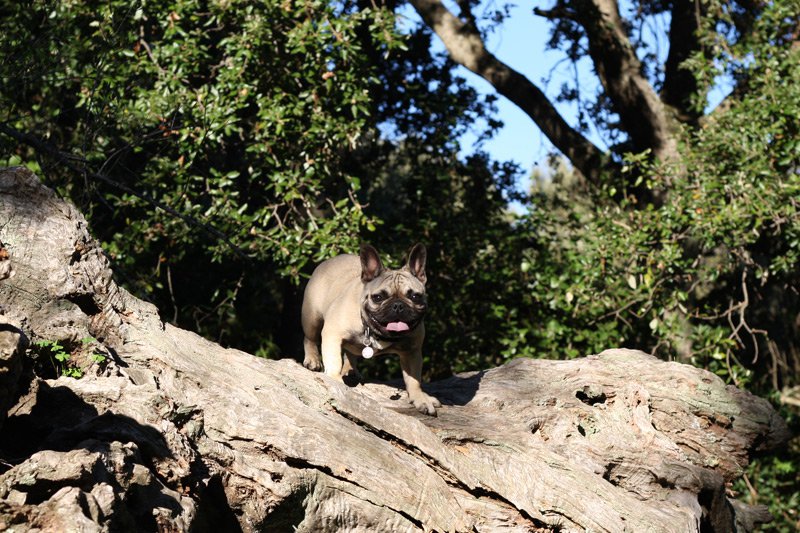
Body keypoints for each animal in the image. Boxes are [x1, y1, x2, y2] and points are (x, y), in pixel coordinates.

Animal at [302, 243, 440, 414]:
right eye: (378, 297)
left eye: (415, 296)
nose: (398, 305)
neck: (376, 332)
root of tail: (330, 259)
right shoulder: (333, 333)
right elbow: (334, 360)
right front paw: (334, 379)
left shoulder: (412, 352)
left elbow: (414, 379)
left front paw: (420, 398)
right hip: (312, 318)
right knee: (309, 338)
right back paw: (312, 360)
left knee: (350, 353)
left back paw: (350, 370)